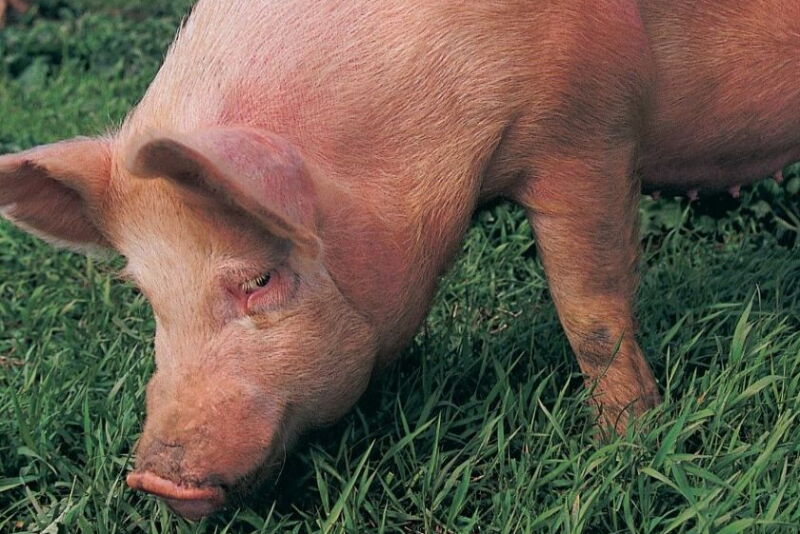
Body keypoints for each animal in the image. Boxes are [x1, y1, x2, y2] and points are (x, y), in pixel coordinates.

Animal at [1, 0, 799, 520]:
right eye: (149, 296)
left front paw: (623, 441)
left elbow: (591, 313)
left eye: (259, 278)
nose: (154, 481)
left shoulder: (587, 133)